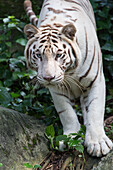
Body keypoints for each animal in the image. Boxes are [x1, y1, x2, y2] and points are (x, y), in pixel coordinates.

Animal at [23, 0, 112, 157]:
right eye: (38, 55)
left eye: (58, 55)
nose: (48, 77)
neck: (70, 73)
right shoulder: (56, 89)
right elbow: (66, 113)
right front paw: (70, 138)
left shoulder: (96, 80)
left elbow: (95, 110)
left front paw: (98, 144)